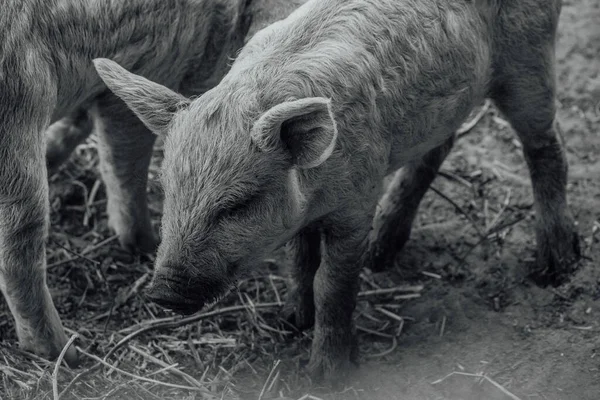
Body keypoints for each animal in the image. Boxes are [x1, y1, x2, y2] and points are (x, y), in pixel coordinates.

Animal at [0, 0, 308, 368]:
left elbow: (75, 127)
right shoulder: (148, 69)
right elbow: (122, 159)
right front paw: (143, 243)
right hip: (19, 108)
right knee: (19, 242)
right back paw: (67, 354)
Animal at [96, 0, 580, 382]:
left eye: (237, 204)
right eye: (167, 190)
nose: (163, 293)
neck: (315, 193)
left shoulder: (356, 202)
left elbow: (332, 281)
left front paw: (326, 374)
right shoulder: (303, 214)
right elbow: (300, 260)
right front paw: (290, 322)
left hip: (530, 58)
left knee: (546, 146)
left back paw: (555, 268)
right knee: (442, 146)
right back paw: (382, 254)